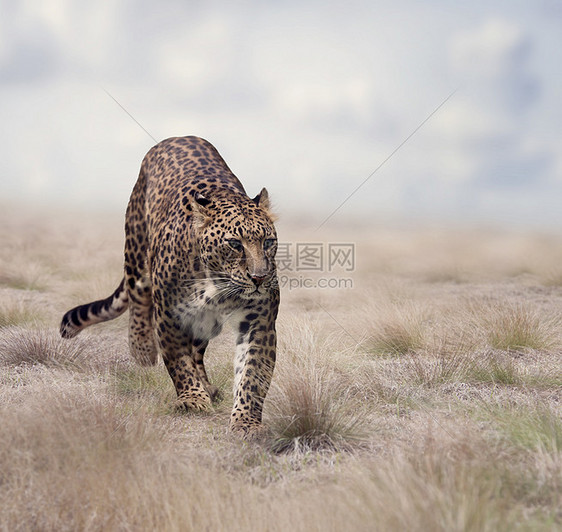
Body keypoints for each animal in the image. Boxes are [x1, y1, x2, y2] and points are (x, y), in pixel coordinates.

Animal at [59, 137, 278, 436]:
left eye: (268, 242)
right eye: (235, 244)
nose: (259, 278)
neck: (216, 282)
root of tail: (180, 137)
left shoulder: (259, 322)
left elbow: (253, 375)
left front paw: (246, 421)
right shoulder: (169, 314)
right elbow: (178, 361)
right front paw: (192, 399)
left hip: (203, 322)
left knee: (197, 350)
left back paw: (207, 386)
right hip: (136, 250)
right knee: (138, 297)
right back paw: (142, 349)